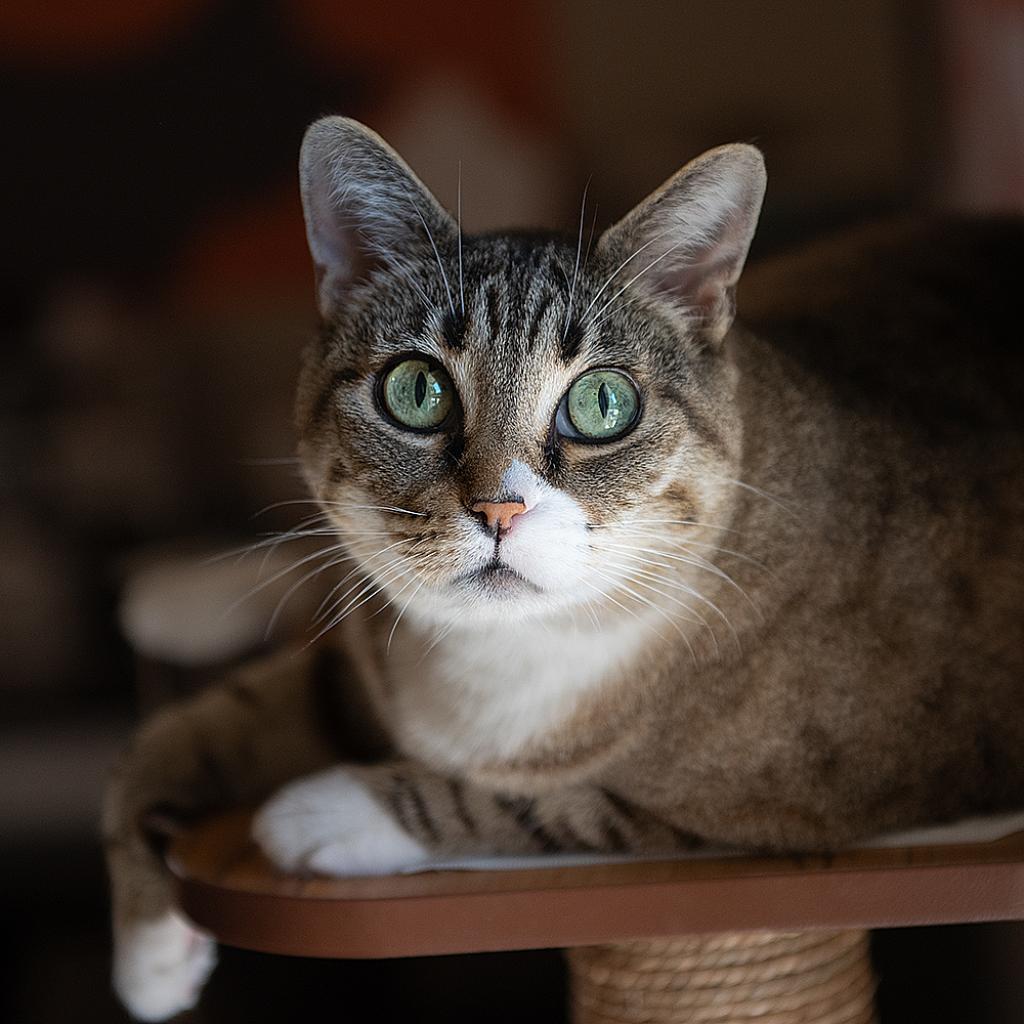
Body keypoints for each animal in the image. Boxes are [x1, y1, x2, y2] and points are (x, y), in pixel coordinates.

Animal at [103, 116, 1024, 1019]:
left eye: (603, 403)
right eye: (416, 390)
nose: (498, 511)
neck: (514, 650)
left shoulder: (778, 811)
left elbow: (554, 806)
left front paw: (326, 809)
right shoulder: (361, 664)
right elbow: (182, 729)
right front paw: (148, 954)